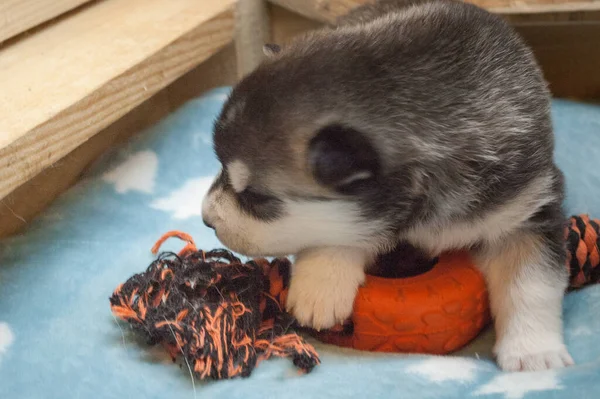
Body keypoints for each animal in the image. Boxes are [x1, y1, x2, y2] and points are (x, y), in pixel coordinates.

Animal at [203, 0, 572, 372]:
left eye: (256, 198)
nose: (206, 219)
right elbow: (340, 230)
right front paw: (320, 285)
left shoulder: (526, 208)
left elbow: (529, 281)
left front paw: (533, 353)